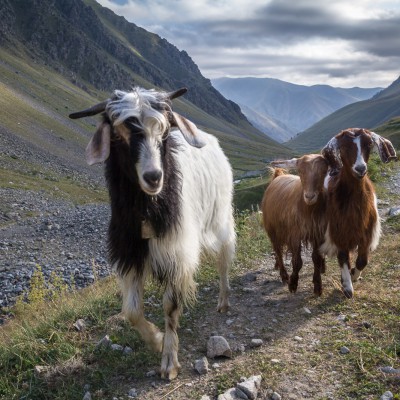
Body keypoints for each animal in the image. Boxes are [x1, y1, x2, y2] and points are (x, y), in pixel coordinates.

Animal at [70, 86, 236, 378]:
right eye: (118, 134)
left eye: (165, 131)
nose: (153, 177)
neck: (147, 209)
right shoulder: (130, 254)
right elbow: (131, 311)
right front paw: (156, 341)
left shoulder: (176, 252)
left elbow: (170, 306)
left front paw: (169, 361)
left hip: (220, 217)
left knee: (224, 257)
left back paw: (223, 300)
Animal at [262, 155, 328, 296]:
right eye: (300, 171)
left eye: (323, 172)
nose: (309, 196)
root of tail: (278, 176)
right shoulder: (295, 235)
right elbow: (297, 261)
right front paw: (293, 284)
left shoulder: (317, 234)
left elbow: (316, 259)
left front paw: (318, 286)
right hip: (272, 229)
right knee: (278, 250)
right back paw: (284, 275)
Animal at [318, 127, 396, 296]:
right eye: (344, 147)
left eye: (368, 144)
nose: (360, 169)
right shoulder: (338, 232)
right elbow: (343, 257)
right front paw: (347, 286)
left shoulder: (367, 233)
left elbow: (362, 261)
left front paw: (353, 275)